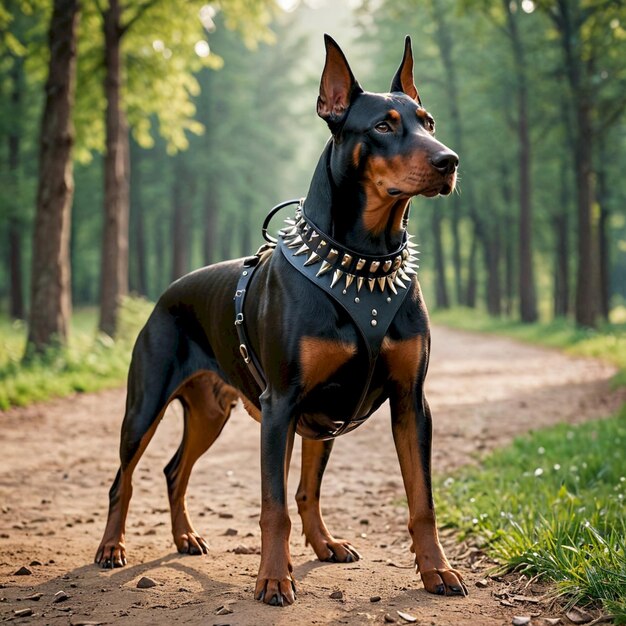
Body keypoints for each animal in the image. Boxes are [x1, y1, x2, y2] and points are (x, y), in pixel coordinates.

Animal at [95, 34, 466, 604]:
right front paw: (273, 577)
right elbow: (274, 505)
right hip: (146, 404)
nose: (449, 161)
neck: (364, 259)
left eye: (428, 120)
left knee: (178, 470)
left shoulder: (408, 403)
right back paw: (112, 548)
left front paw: (436, 570)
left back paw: (193, 538)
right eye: (383, 126)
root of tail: (167, 293)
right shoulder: (281, 405)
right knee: (125, 477)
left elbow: (412, 500)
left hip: (216, 411)